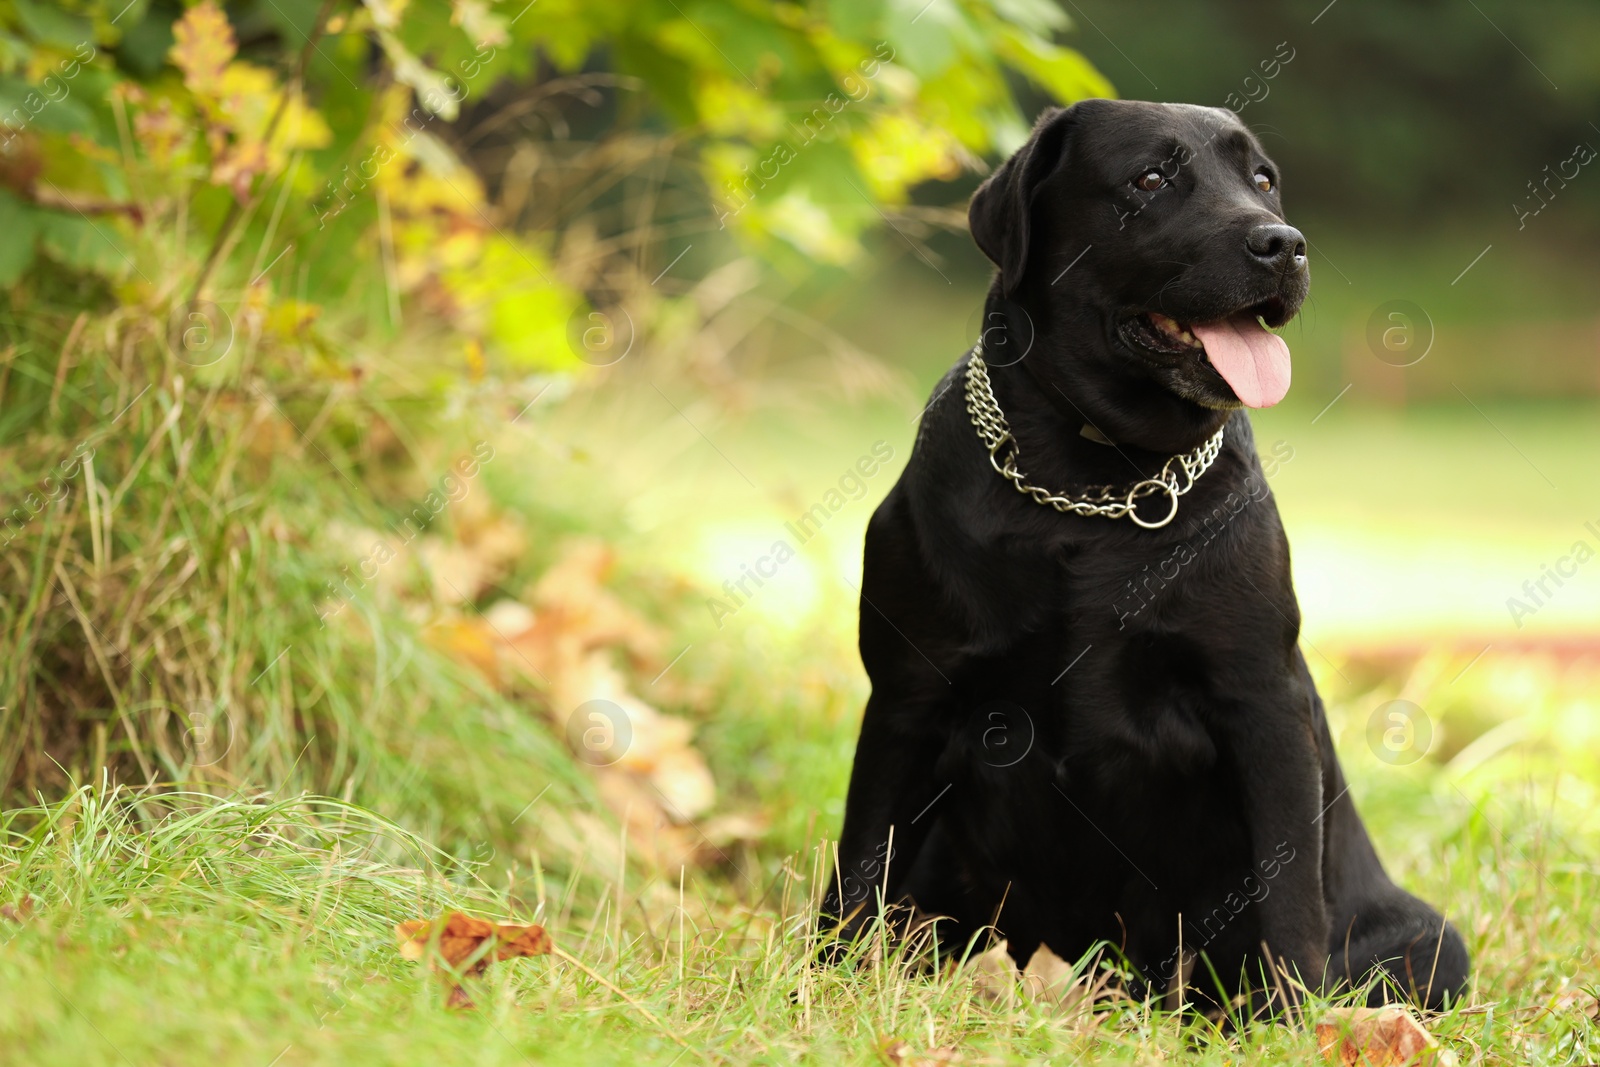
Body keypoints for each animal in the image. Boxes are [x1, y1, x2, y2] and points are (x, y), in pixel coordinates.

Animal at [819, 102, 1465, 1017]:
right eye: (1151, 179)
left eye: (1263, 179)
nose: (1283, 243)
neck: (1093, 484)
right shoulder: (909, 695)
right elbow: (860, 865)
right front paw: (822, 987)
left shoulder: (1260, 701)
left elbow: (1289, 895)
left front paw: (1290, 1021)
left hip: (1430, 940)